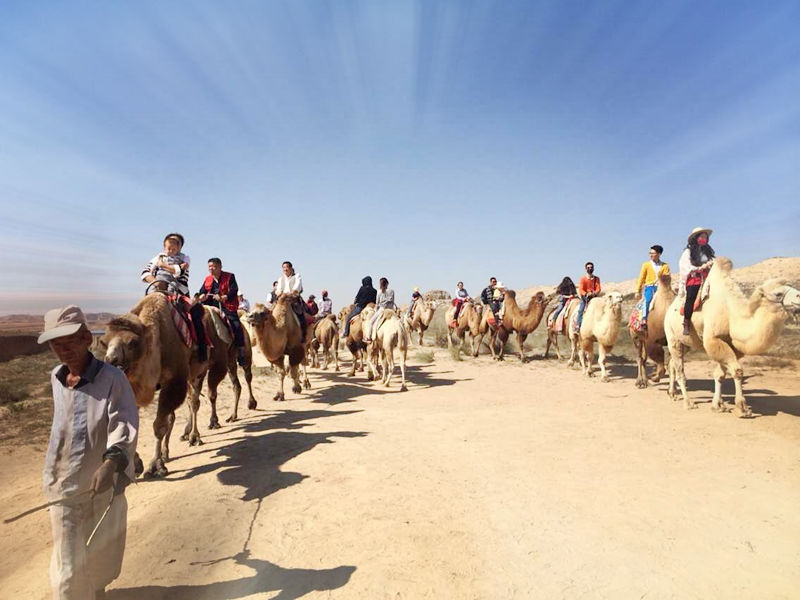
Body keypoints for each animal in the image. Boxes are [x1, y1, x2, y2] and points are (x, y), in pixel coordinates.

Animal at [664, 258, 800, 418]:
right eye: (778, 293)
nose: (799, 296)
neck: (732, 314)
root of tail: (669, 311)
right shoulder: (714, 340)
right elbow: (737, 371)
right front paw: (742, 408)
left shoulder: (731, 345)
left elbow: (720, 375)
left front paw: (718, 406)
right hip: (672, 337)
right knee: (680, 370)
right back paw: (688, 403)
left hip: (687, 343)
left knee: (672, 363)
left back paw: (672, 394)